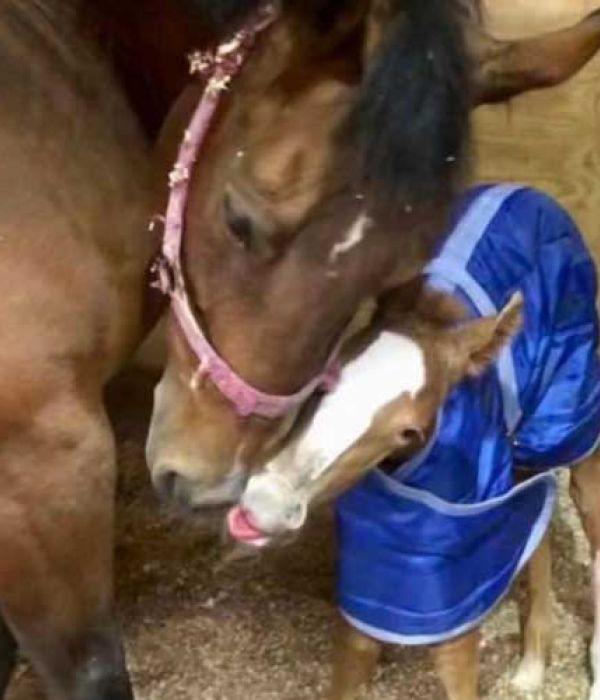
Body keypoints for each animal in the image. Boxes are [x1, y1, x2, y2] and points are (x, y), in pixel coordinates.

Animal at [226, 184, 600, 700]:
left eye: (410, 431)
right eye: (325, 377)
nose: (265, 507)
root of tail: (528, 191)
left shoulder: (450, 555)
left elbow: (457, 658)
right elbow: (357, 650)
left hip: (572, 419)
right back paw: (531, 666)